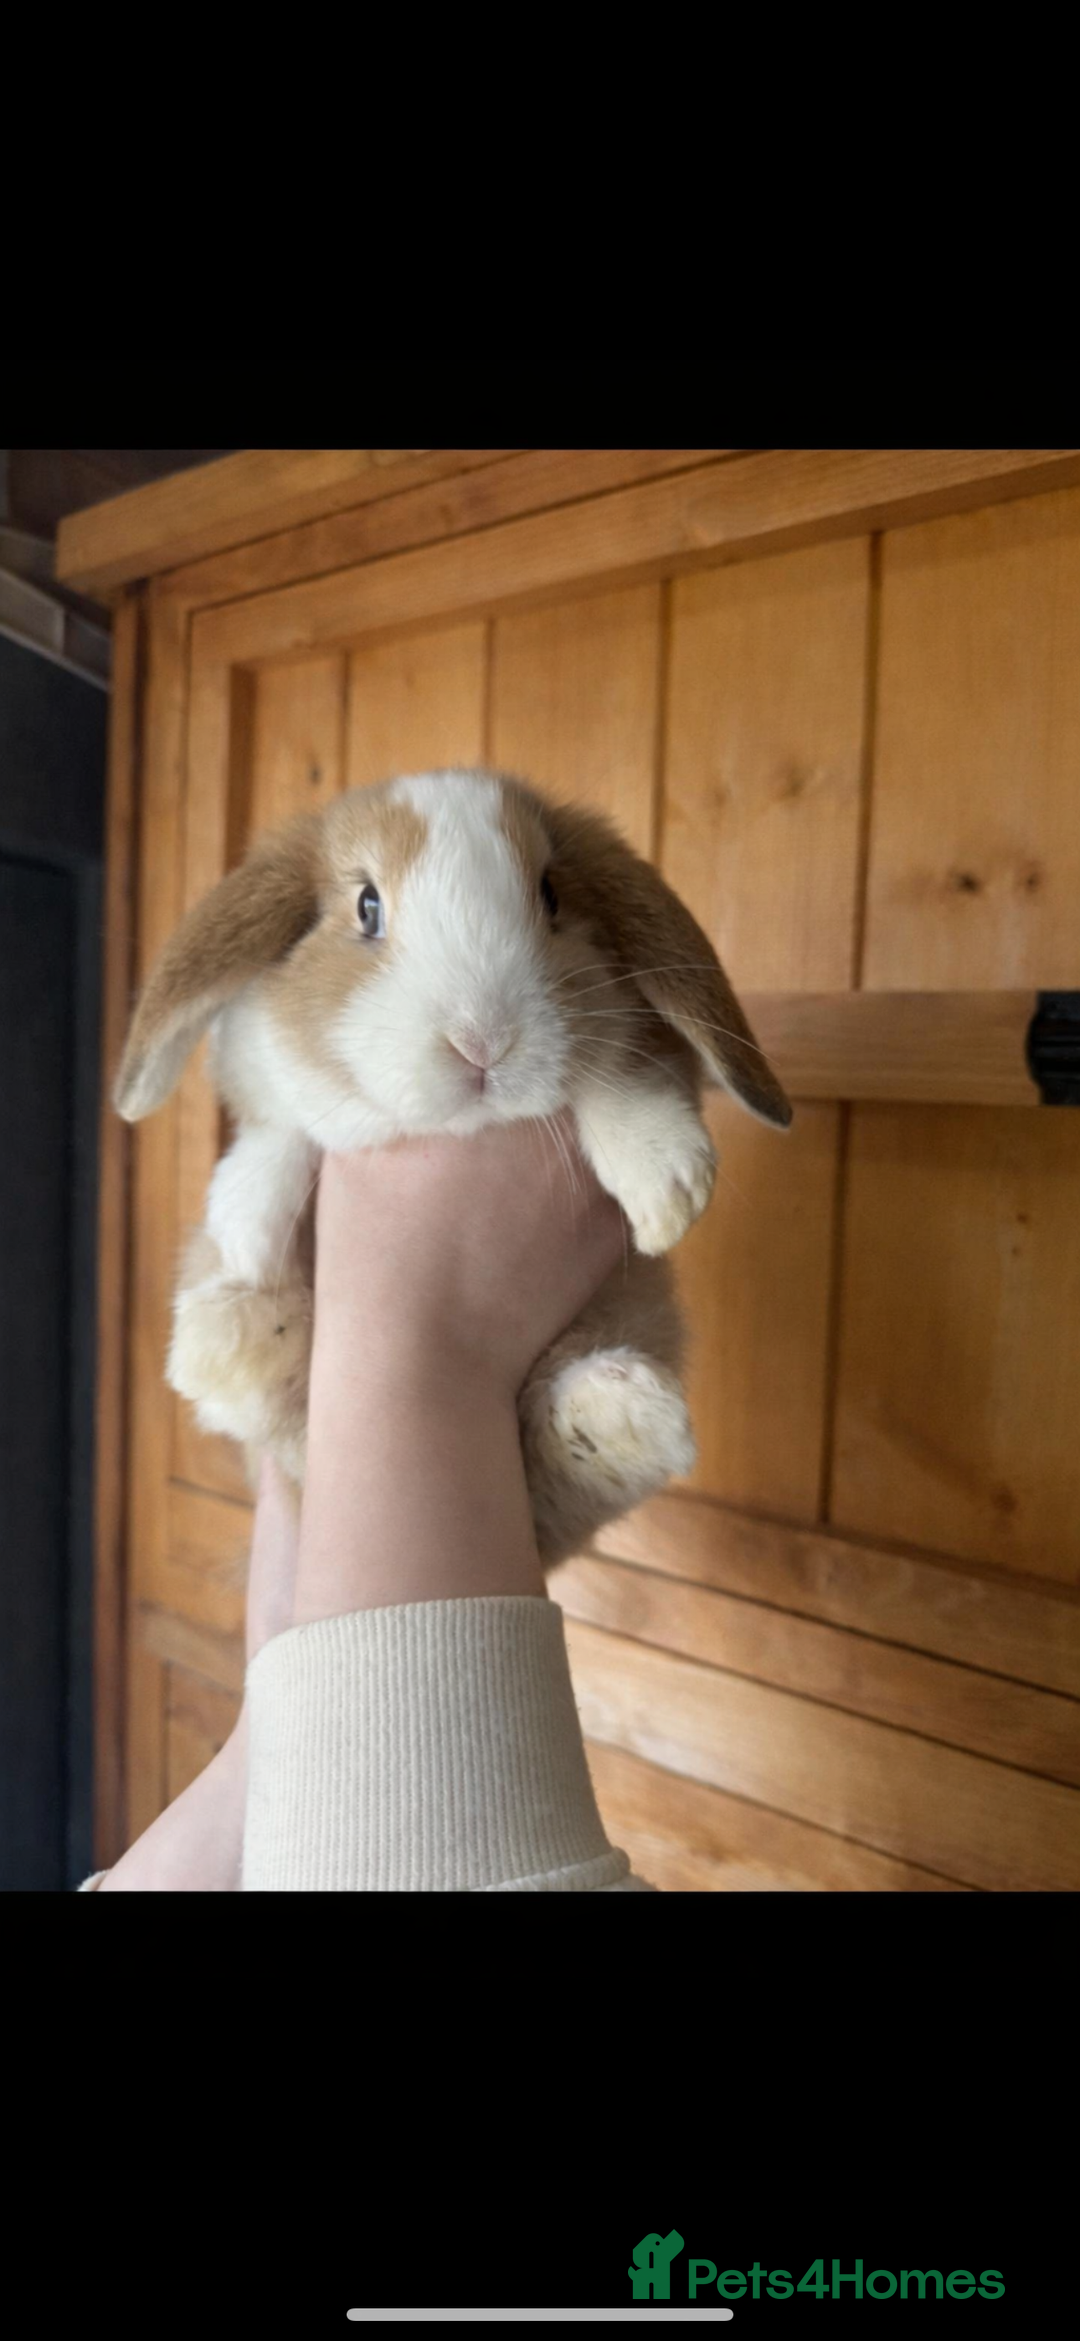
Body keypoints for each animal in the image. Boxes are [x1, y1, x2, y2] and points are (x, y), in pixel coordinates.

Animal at [115, 767, 792, 1567]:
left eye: (551, 895)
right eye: (367, 906)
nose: (483, 1041)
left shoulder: (644, 1047)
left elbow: (615, 1068)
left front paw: (668, 1182)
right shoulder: (258, 1067)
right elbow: (282, 1126)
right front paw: (247, 1224)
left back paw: (620, 1416)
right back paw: (230, 1338)